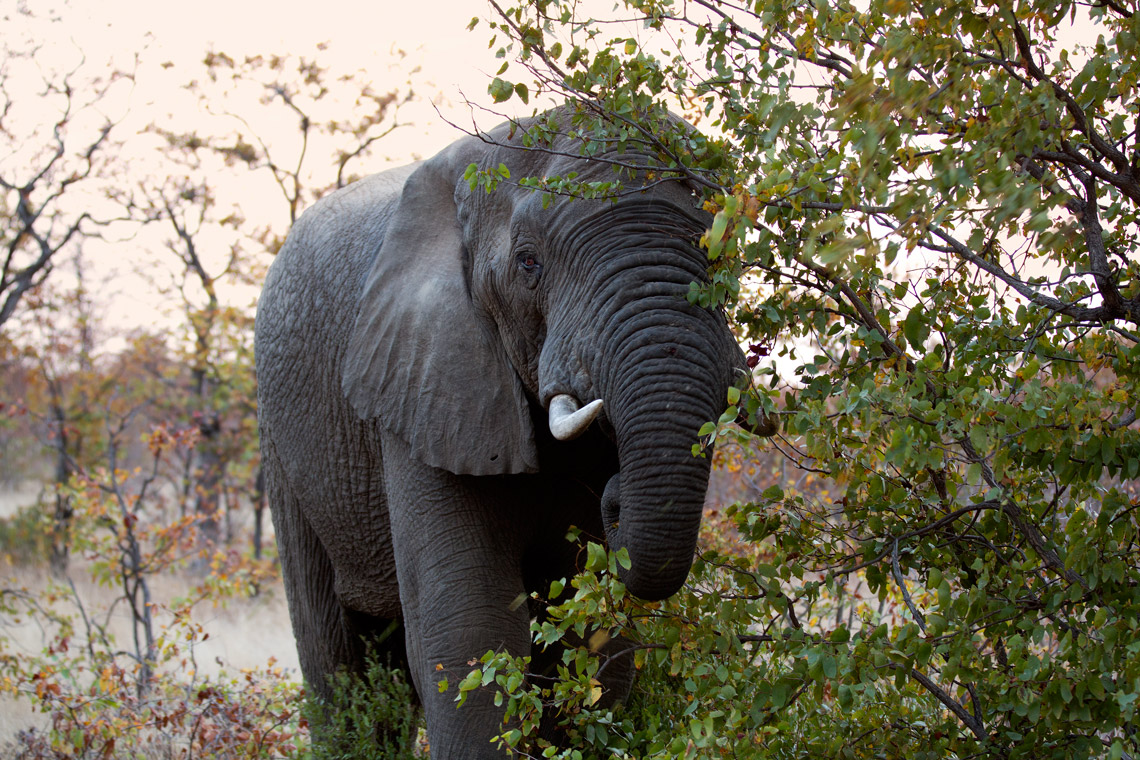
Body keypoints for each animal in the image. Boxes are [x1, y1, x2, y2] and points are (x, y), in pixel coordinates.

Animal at [254, 105, 774, 757]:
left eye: (729, 257)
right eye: (529, 263)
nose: (615, 498)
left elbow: (592, 639)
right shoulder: (425, 380)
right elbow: (468, 634)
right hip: (281, 437)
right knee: (336, 656)